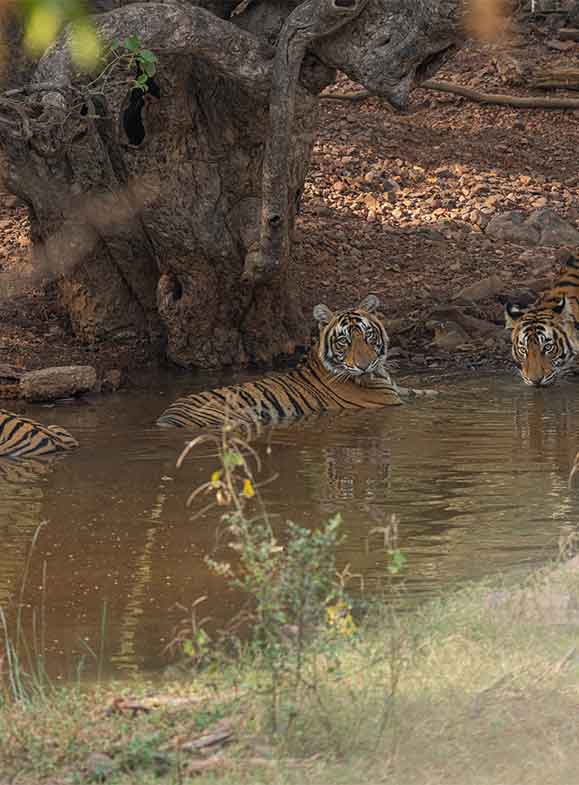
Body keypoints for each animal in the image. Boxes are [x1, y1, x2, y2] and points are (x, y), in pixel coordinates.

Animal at [156, 292, 432, 428]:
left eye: (367, 336)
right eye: (344, 342)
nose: (364, 366)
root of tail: (165, 419)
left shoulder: (398, 388)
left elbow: (425, 392)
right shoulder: (390, 401)